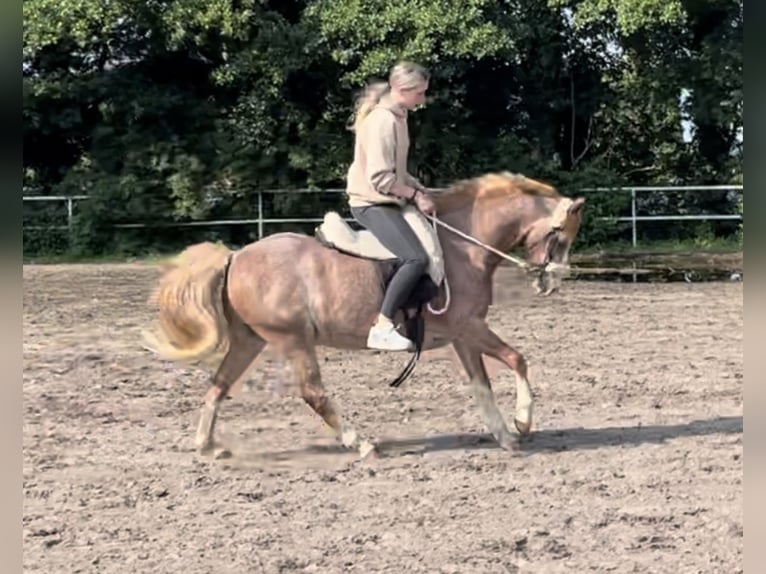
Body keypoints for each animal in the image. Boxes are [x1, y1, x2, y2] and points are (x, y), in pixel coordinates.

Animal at [143, 171, 586, 459]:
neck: (463, 247)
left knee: (218, 385)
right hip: (293, 339)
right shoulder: (470, 327)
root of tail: (236, 256)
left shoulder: (462, 335)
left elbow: (482, 385)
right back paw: (362, 443)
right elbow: (517, 359)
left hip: (251, 340)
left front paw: (504, 436)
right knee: (313, 393)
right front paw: (523, 422)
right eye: (558, 234)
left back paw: (207, 446)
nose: (552, 282)